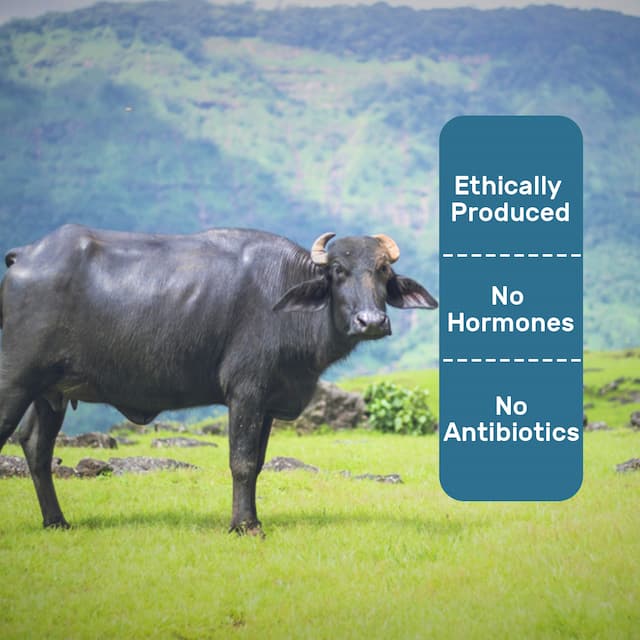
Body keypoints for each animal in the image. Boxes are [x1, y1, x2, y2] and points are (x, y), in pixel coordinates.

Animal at [0, 225, 437, 534]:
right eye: (338, 271)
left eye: (382, 270)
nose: (372, 321)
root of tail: (25, 256)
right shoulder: (245, 392)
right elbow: (241, 461)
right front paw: (244, 525)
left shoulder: (268, 402)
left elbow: (257, 463)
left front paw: (253, 517)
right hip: (15, 381)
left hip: (49, 392)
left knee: (36, 447)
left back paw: (56, 521)